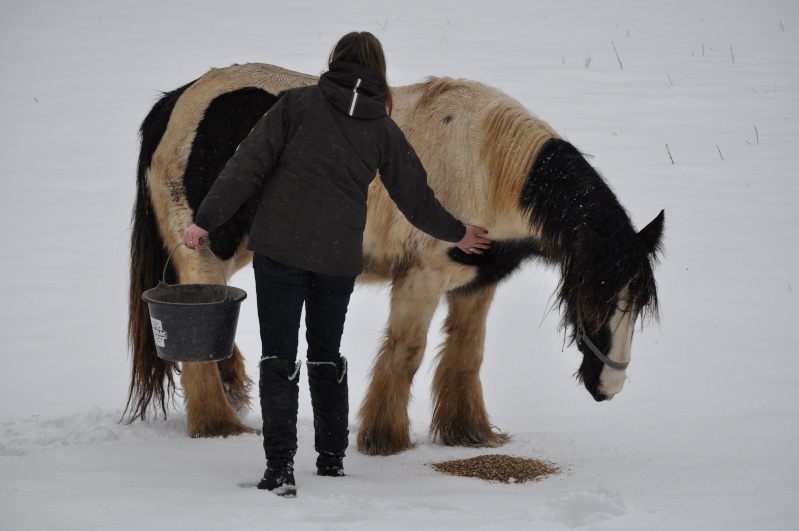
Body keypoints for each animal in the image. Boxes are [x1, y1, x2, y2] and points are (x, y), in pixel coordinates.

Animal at [125, 61, 664, 454]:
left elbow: (467, 354)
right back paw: (218, 425)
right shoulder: (421, 278)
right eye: (593, 300)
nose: (611, 387)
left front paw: (467, 434)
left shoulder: (476, 283)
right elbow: (406, 354)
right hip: (204, 250)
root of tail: (174, 103)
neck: (486, 166)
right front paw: (385, 439)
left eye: (637, 305)